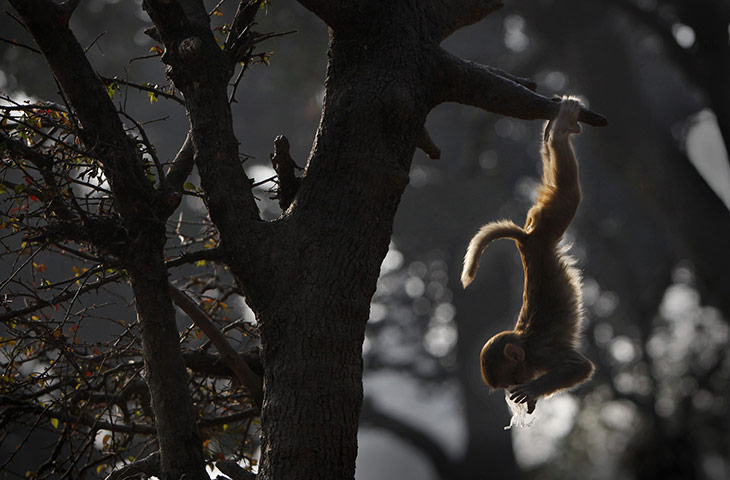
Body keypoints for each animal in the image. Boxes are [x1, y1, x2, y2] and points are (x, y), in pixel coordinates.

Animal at [461, 97, 594, 414]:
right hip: (540, 224)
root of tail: (527, 240)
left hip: (547, 224)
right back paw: (552, 129)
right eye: (504, 385)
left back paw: (559, 130)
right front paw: (532, 398)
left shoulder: (543, 356)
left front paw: (533, 389)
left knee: (568, 194)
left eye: (510, 379)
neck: (525, 345)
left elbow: (580, 367)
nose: (510, 390)